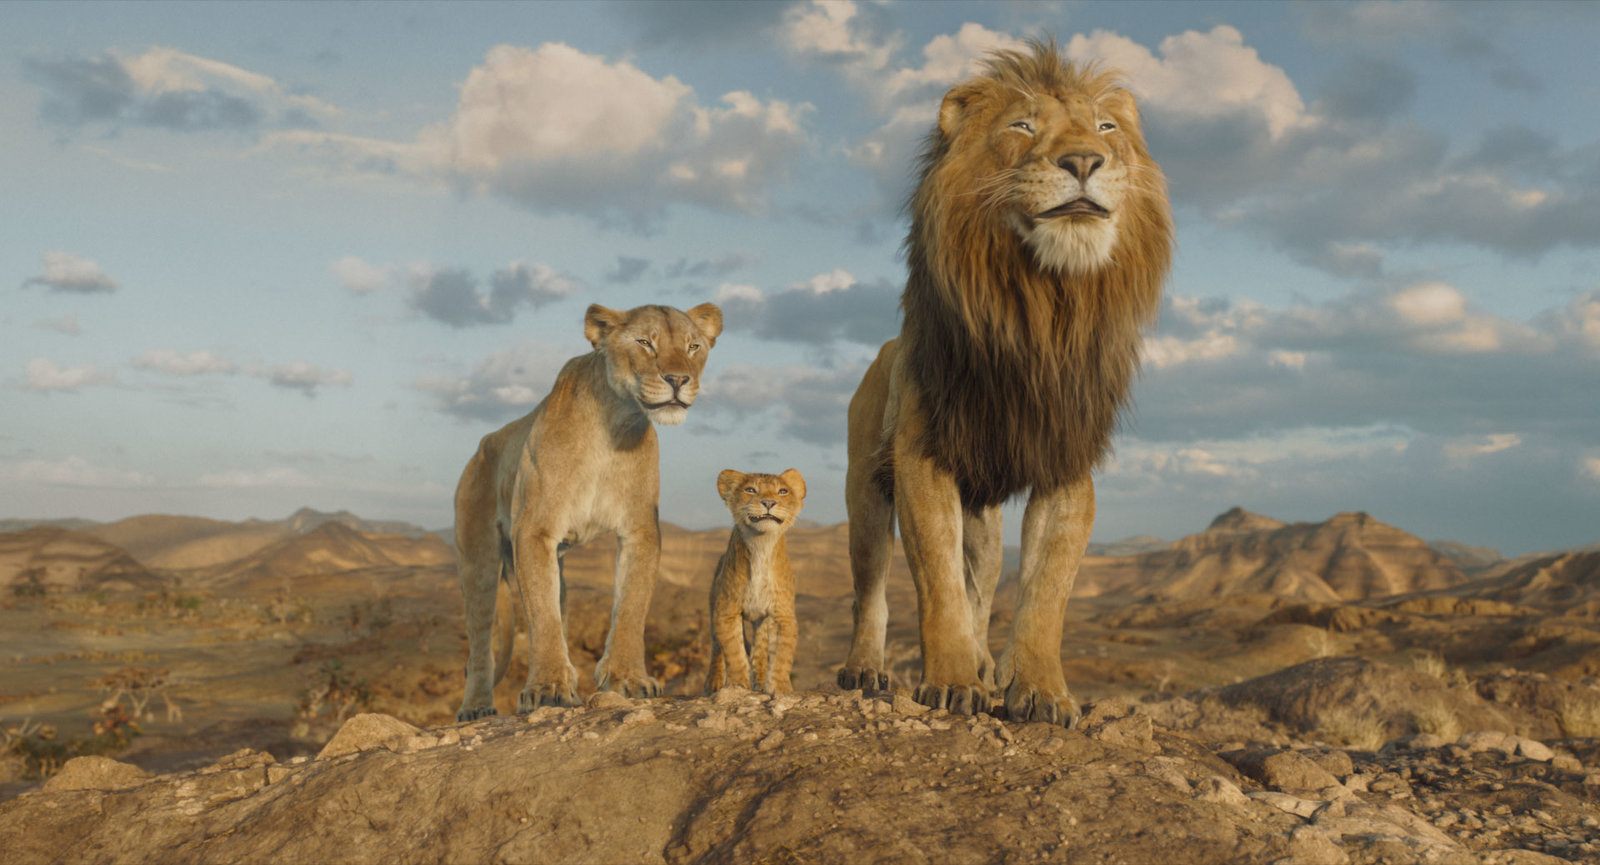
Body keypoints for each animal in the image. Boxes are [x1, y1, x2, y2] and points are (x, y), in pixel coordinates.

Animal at [454, 302, 723, 721]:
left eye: (693, 346)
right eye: (645, 343)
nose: (679, 379)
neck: (614, 423)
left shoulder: (640, 530)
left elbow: (630, 606)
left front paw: (628, 679)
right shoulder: (534, 530)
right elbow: (543, 617)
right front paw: (547, 688)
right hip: (478, 560)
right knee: (480, 643)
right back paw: (476, 707)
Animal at [705, 468, 806, 695]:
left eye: (782, 491)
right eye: (751, 490)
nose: (768, 502)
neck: (761, 545)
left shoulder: (782, 614)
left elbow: (782, 655)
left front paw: (779, 688)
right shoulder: (726, 611)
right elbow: (733, 652)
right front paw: (737, 685)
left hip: (762, 620)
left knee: (760, 649)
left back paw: (759, 681)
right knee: (716, 647)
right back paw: (714, 682)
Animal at [837, 40, 1173, 726]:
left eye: (1107, 128)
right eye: (1022, 126)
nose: (1084, 161)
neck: (1042, 309)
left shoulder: (1065, 462)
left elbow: (1045, 592)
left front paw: (1041, 691)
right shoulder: (922, 458)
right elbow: (937, 585)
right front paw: (950, 681)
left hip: (984, 520)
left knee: (983, 586)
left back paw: (986, 662)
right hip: (865, 492)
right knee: (872, 588)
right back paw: (866, 669)